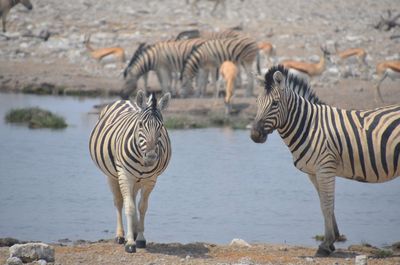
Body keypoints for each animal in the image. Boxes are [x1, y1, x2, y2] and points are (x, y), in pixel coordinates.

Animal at [89, 89, 172, 252]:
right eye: (140, 125)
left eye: (161, 126)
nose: (151, 157)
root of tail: (125, 100)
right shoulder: (125, 176)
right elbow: (129, 207)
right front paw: (130, 243)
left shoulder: (150, 180)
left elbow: (142, 207)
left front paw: (139, 238)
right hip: (113, 175)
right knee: (119, 201)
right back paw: (121, 236)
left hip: (137, 180)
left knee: (132, 198)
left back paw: (132, 231)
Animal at [250, 64, 400, 256]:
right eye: (257, 102)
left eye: (275, 103)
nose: (254, 135)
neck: (309, 126)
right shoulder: (313, 172)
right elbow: (324, 203)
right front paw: (333, 240)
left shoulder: (325, 167)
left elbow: (327, 205)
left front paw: (326, 244)